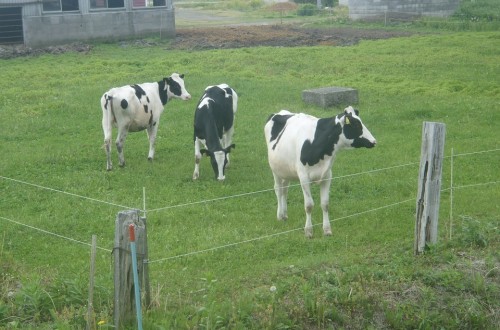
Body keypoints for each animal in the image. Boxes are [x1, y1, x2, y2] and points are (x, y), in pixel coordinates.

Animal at [266, 105, 376, 237]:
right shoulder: (304, 177)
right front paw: (308, 231)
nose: (374, 141)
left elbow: (325, 204)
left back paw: (285, 215)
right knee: (278, 190)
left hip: (285, 170)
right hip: (275, 169)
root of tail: (280, 112)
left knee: (285, 190)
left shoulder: (327, 175)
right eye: (356, 125)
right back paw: (280, 215)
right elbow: (309, 205)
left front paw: (327, 230)